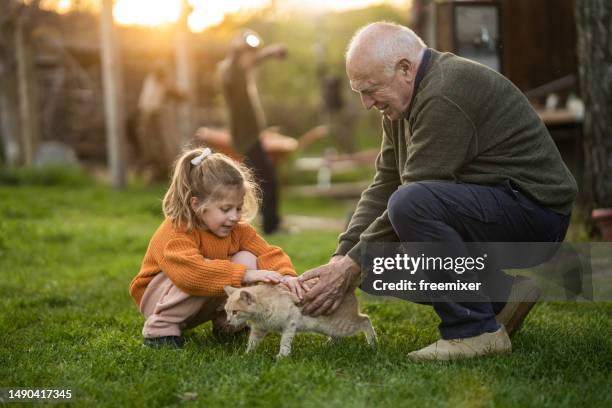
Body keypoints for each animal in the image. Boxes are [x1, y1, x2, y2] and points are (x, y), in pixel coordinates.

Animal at [225, 282, 378, 358]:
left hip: (344, 325)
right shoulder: (259, 329)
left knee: (365, 320)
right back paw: (329, 345)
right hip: (331, 328)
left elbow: (285, 341)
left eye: (235, 312)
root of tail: (348, 288)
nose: (228, 321)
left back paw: (372, 344)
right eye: (226, 312)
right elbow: (252, 342)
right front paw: (246, 355)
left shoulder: (290, 323)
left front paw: (282, 356)